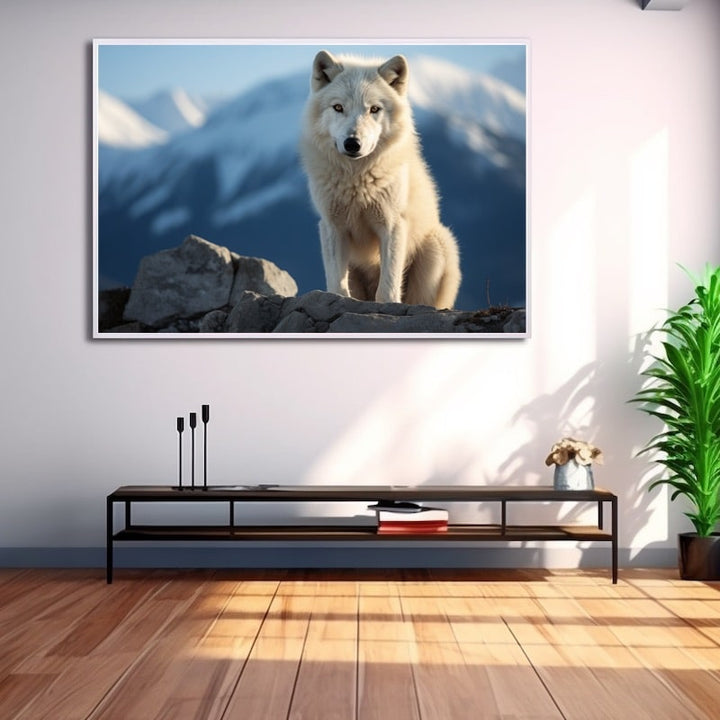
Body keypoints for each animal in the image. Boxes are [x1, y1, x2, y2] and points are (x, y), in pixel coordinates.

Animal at [300, 50, 461, 309]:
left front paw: (387, 305)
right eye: (338, 107)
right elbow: (337, 284)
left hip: (437, 248)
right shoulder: (332, 226)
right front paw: (337, 300)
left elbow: (387, 287)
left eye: (374, 109)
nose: (352, 143)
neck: (356, 180)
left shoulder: (392, 225)